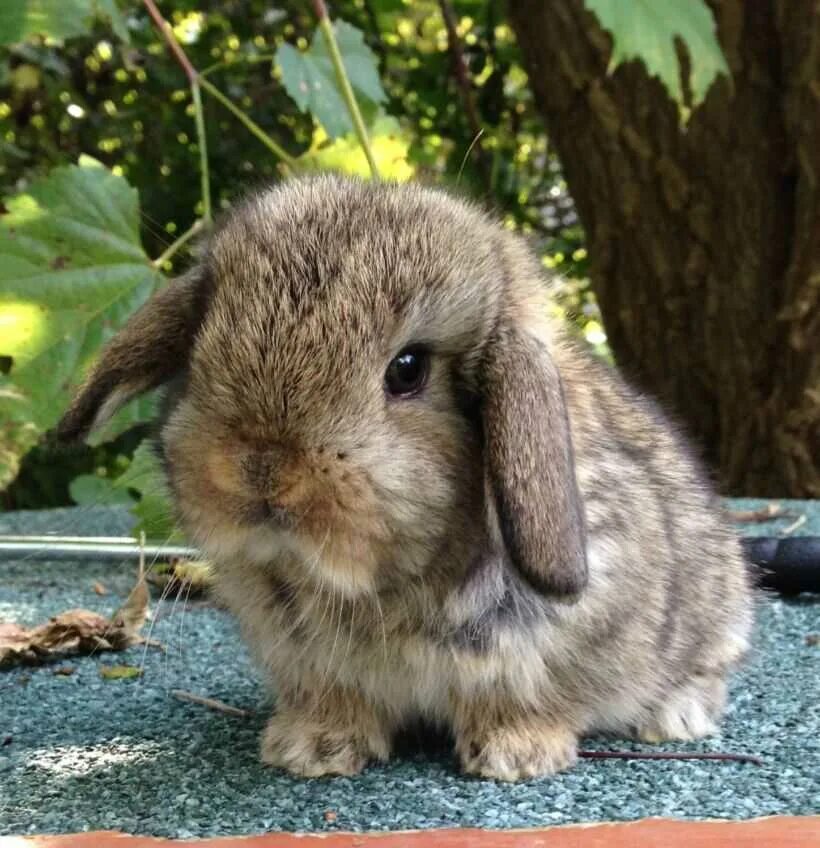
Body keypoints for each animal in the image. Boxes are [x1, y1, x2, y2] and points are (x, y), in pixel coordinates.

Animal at [57, 172, 756, 780]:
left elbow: (529, 696)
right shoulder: (311, 663)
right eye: (204, 341)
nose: (262, 470)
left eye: (409, 369)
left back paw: (676, 718)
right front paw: (311, 749)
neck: (380, 584)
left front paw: (515, 756)